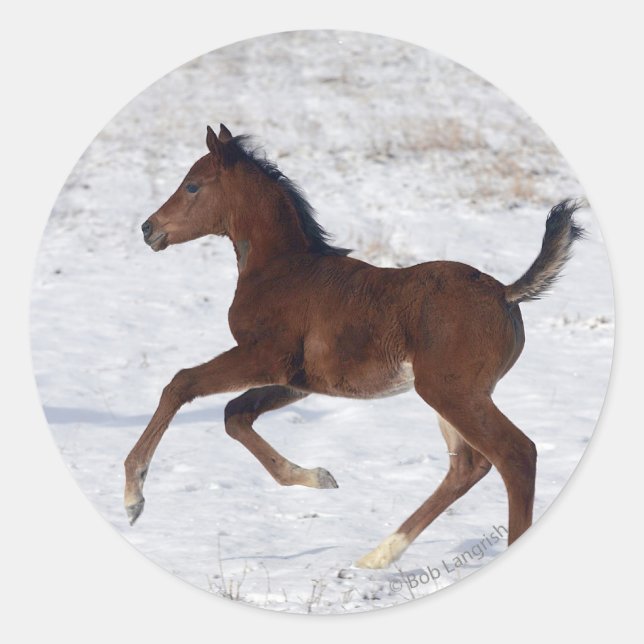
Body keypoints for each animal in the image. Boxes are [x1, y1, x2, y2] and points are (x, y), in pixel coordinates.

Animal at [124, 124, 584, 569]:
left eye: (192, 186)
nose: (148, 228)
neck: (281, 269)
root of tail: (506, 293)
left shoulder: (263, 357)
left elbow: (181, 384)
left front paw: (133, 496)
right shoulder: (296, 380)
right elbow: (234, 415)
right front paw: (320, 477)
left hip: (451, 391)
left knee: (515, 455)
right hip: (452, 395)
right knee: (468, 466)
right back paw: (377, 556)